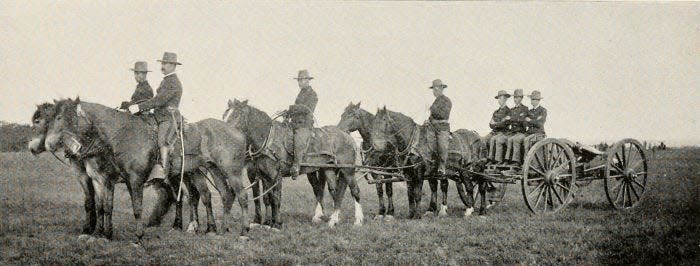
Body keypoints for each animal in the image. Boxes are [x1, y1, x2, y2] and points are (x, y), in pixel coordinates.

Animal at [42, 97, 249, 243]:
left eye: (61, 117)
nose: (49, 144)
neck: (120, 136)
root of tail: (237, 131)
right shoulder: (100, 180)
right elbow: (104, 207)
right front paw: (101, 235)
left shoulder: (133, 180)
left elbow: (136, 208)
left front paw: (138, 237)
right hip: (209, 170)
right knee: (219, 195)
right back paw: (218, 230)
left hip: (231, 172)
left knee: (240, 196)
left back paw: (243, 232)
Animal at [223, 98, 366, 228]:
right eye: (226, 116)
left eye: (237, 115)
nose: (225, 132)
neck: (269, 140)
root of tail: (347, 136)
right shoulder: (264, 175)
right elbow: (267, 198)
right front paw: (268, 222)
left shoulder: (276, 175)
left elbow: (276, 198)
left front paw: (277, 224)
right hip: (329, 169)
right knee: (335, 193)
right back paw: (333, 220)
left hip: (347, 170)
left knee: (355, 190)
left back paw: (358, 221)